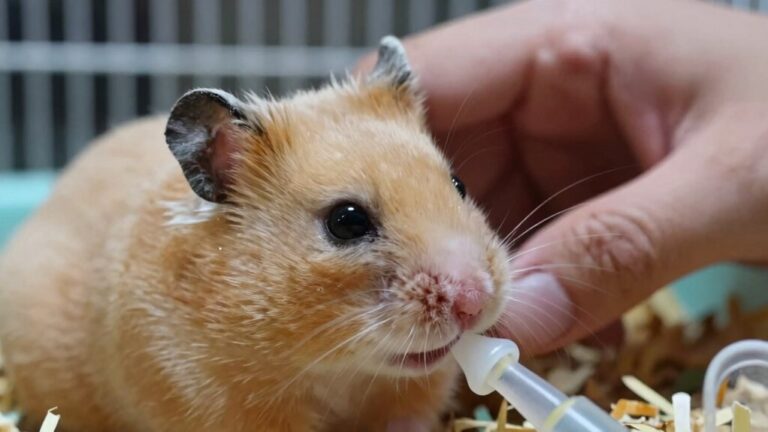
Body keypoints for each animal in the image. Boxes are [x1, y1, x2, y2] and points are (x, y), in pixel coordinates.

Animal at [0, 37, 510, 432]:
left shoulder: (413, 395)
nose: (475, 301)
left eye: (459, 185)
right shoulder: (208, 395)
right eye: (346, 221)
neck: (337, 370)